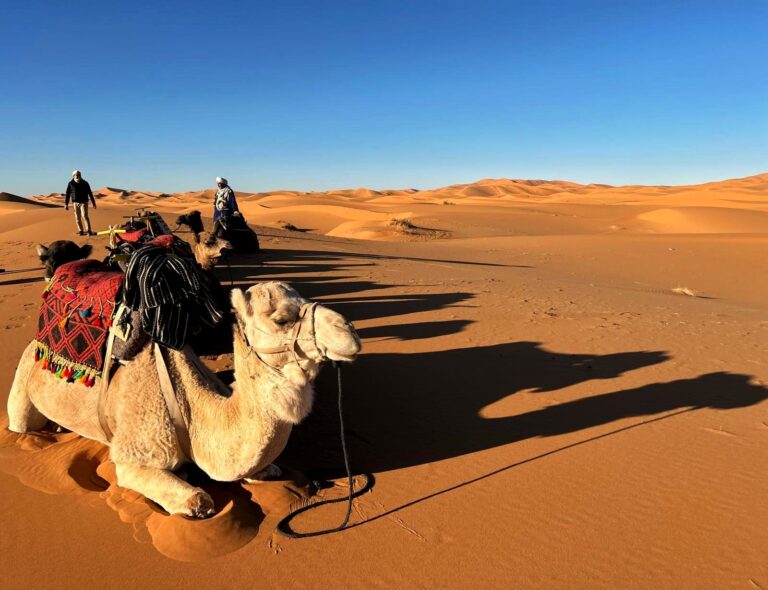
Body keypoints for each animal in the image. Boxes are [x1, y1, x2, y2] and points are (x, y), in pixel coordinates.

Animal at [7, 281, 361, 517]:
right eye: (281, 319)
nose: (349, 331)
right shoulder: (134, 456)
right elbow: (199, 501)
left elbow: (263, 469)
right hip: (23, 382)